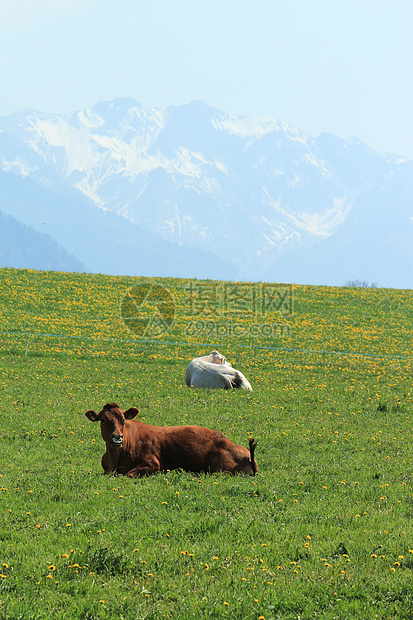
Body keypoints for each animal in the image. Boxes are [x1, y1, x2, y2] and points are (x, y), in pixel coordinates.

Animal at [84, 402, 258, 480]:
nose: (117, 437)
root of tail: (247, 454)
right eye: (103, 420)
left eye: (123, 420)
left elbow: (128, 474)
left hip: (220, 468)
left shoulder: (153, 463)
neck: (115, 459)